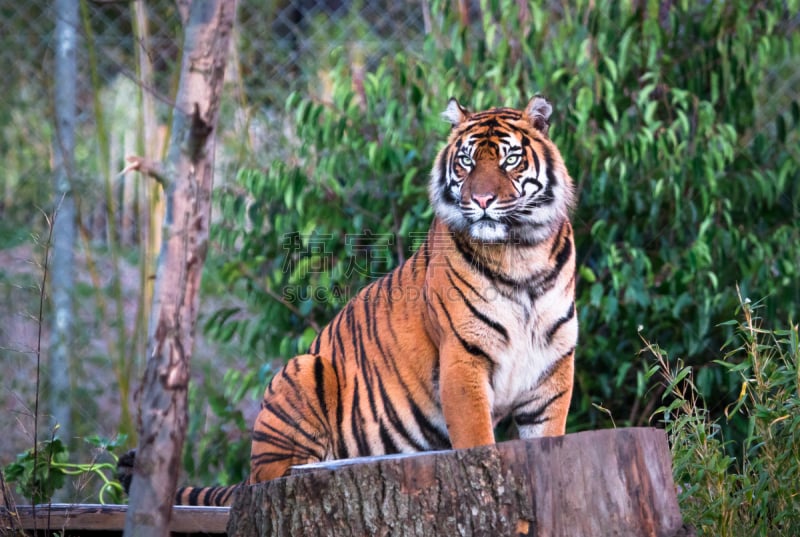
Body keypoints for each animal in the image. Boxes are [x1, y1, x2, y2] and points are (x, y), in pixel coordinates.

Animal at [117, 95, 576, 502]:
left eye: (509, 160)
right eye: (466, 161)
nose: (481, 201)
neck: (522, 254)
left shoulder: (552, 365)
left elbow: (549, 435)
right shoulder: (463, 357)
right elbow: (477, 440)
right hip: (302, 370)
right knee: (272, 475)